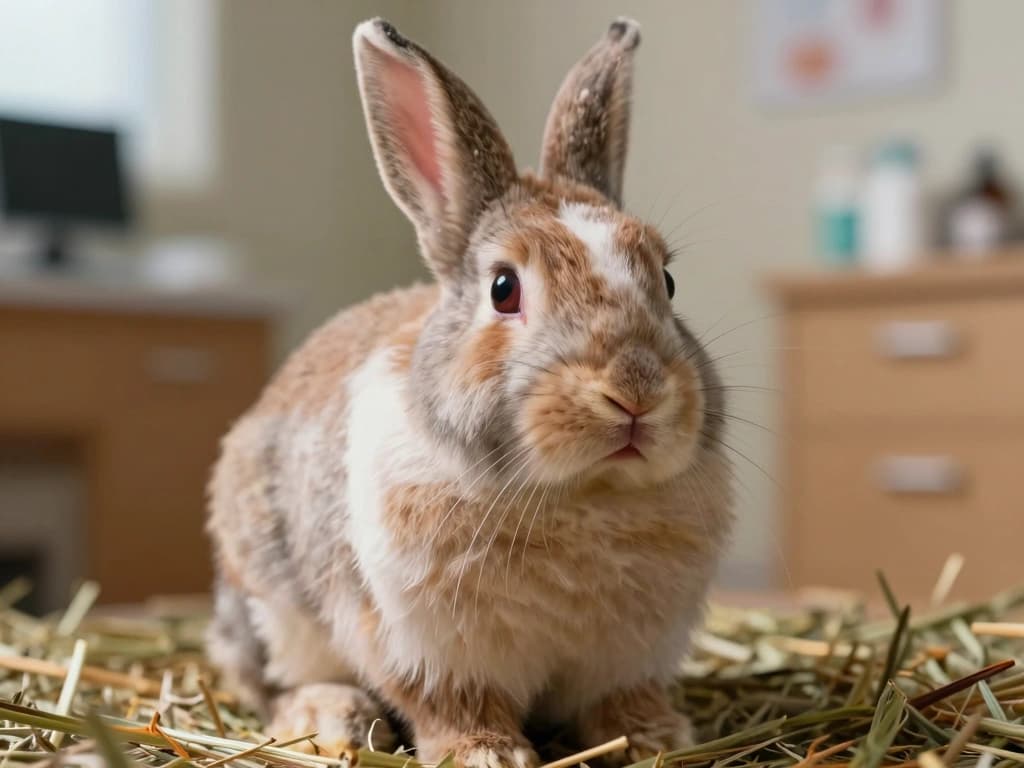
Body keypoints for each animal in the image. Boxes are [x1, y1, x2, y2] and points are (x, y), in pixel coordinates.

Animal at [206, 15, 733, 767]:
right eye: (503, 289)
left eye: (666, 280)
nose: (635, 390)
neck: (580, 495)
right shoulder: (424, 646)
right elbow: (452, 705)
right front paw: (488, 753)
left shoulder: (629, 656)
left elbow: (619, 702)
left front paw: (658, 738)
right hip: (271, 605)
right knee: (272, 682)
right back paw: (332, 717)